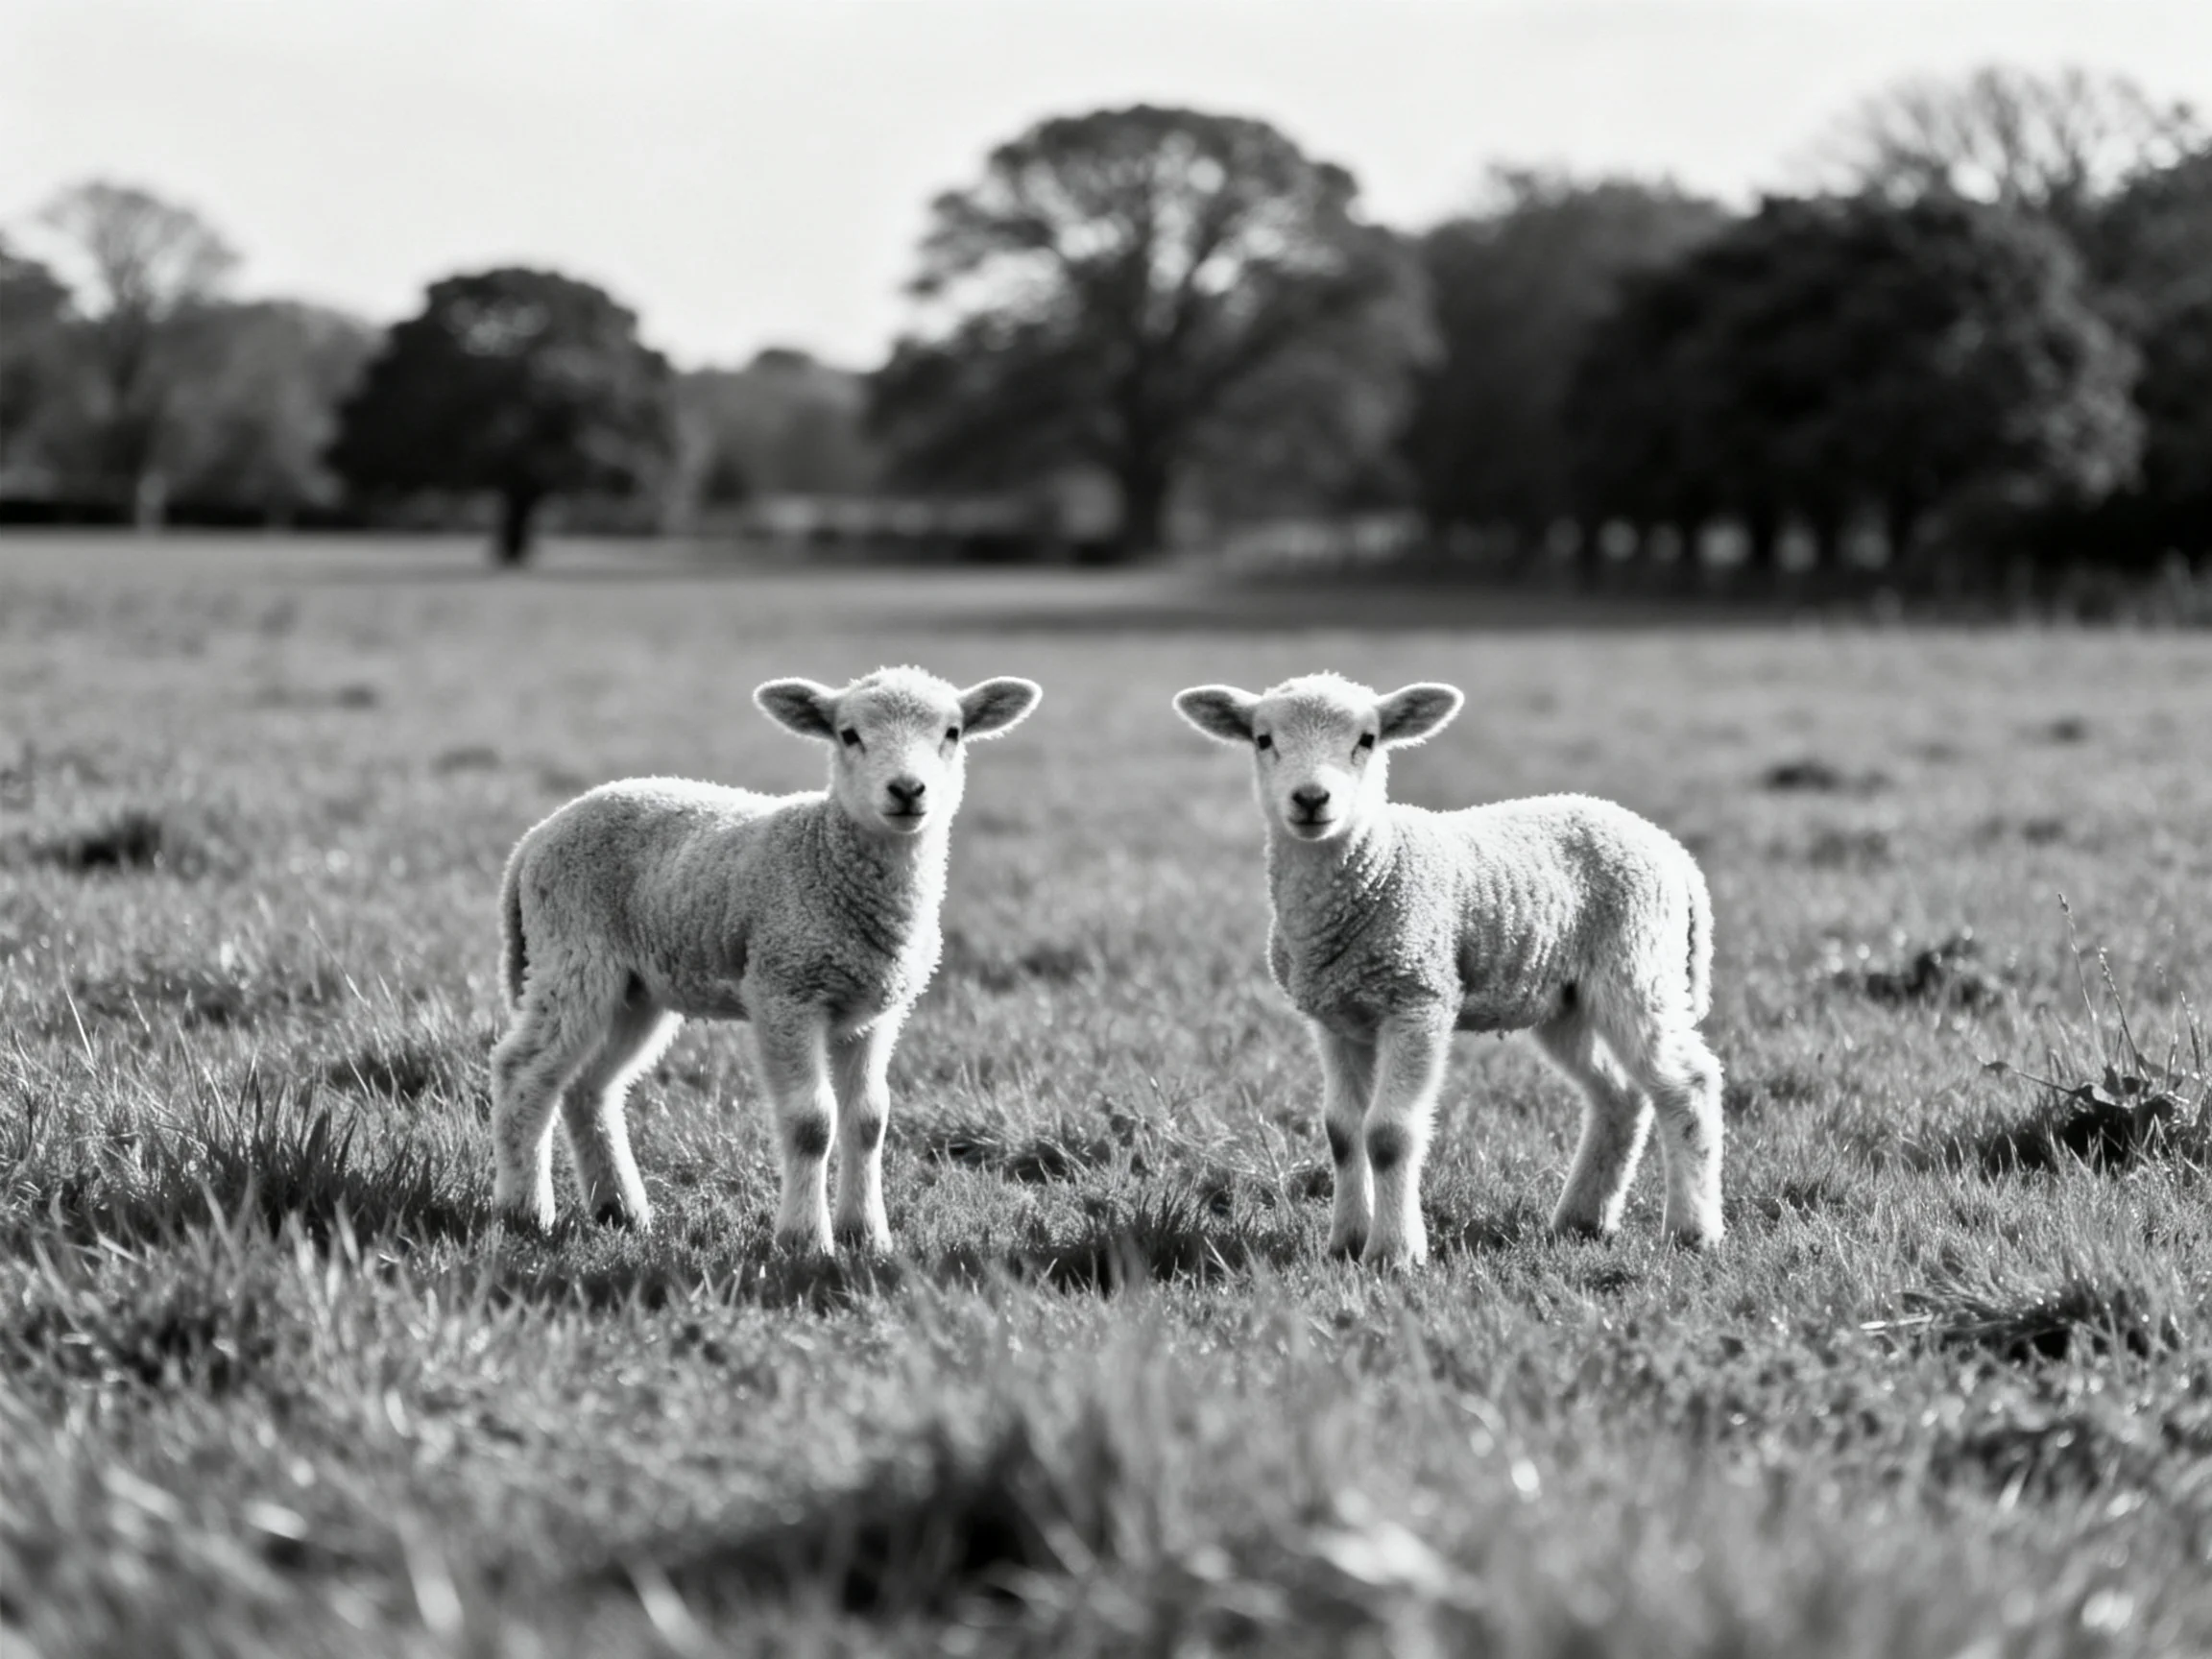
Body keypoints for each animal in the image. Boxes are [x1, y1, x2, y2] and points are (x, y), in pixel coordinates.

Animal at [489, 666, 1042, 1247]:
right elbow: (811, 1123)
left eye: (953, 732)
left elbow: (869, 1120)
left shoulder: (874, 1011)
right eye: (849, 735)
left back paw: (620, 1209)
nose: (908, 790)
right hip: (573, 954)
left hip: (635, 990)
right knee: (522, 1071)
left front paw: (866, 1235)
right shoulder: (785, 990)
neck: (826, 854)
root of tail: (534, 839)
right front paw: (805, 1239)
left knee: (590, 1087)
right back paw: (525, 1209)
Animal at [1173, 673, 1723, 1269]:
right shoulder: (1335, 1018)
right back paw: (1582, 1221)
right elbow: (1342, 1132)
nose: (1312, 799)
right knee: (1618, 1096)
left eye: (1367, 739)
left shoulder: (1419, 999)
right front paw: (1345, 1243)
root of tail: (1671, 851)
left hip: (1637, 963)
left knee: (1687, 1083)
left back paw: (1692, 1231)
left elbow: (1388, 1134)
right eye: (1263, 739)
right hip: (1567, 1000)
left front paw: (1394, 1253)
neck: (1377, 865)